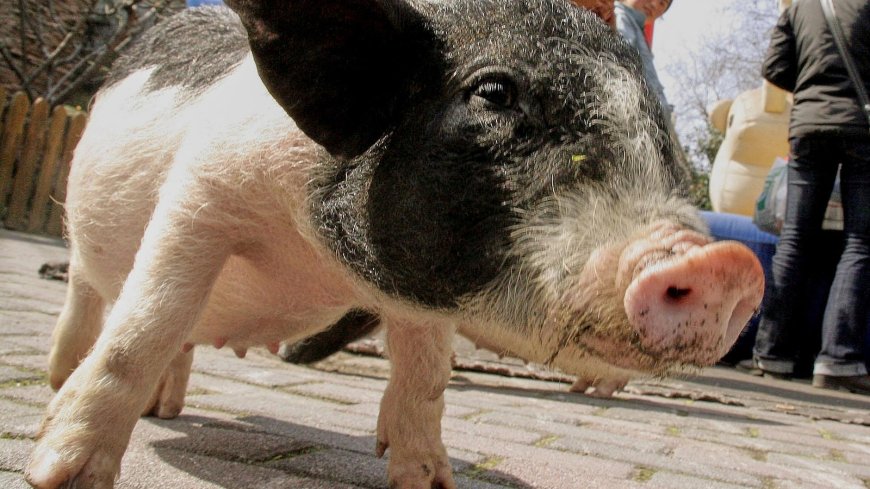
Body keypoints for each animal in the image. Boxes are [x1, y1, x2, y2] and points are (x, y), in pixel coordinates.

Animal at [27, 0, 765, 488]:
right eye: (493, 92)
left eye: (657, 123)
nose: (726, 263)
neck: (316, 262)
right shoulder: (200, 195)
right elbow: (143, 327)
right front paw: (56, 475)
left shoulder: (425, 290)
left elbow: (426, 376)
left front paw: (429, 480)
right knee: (96, 300)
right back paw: (61, 384)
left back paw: (167, 407)